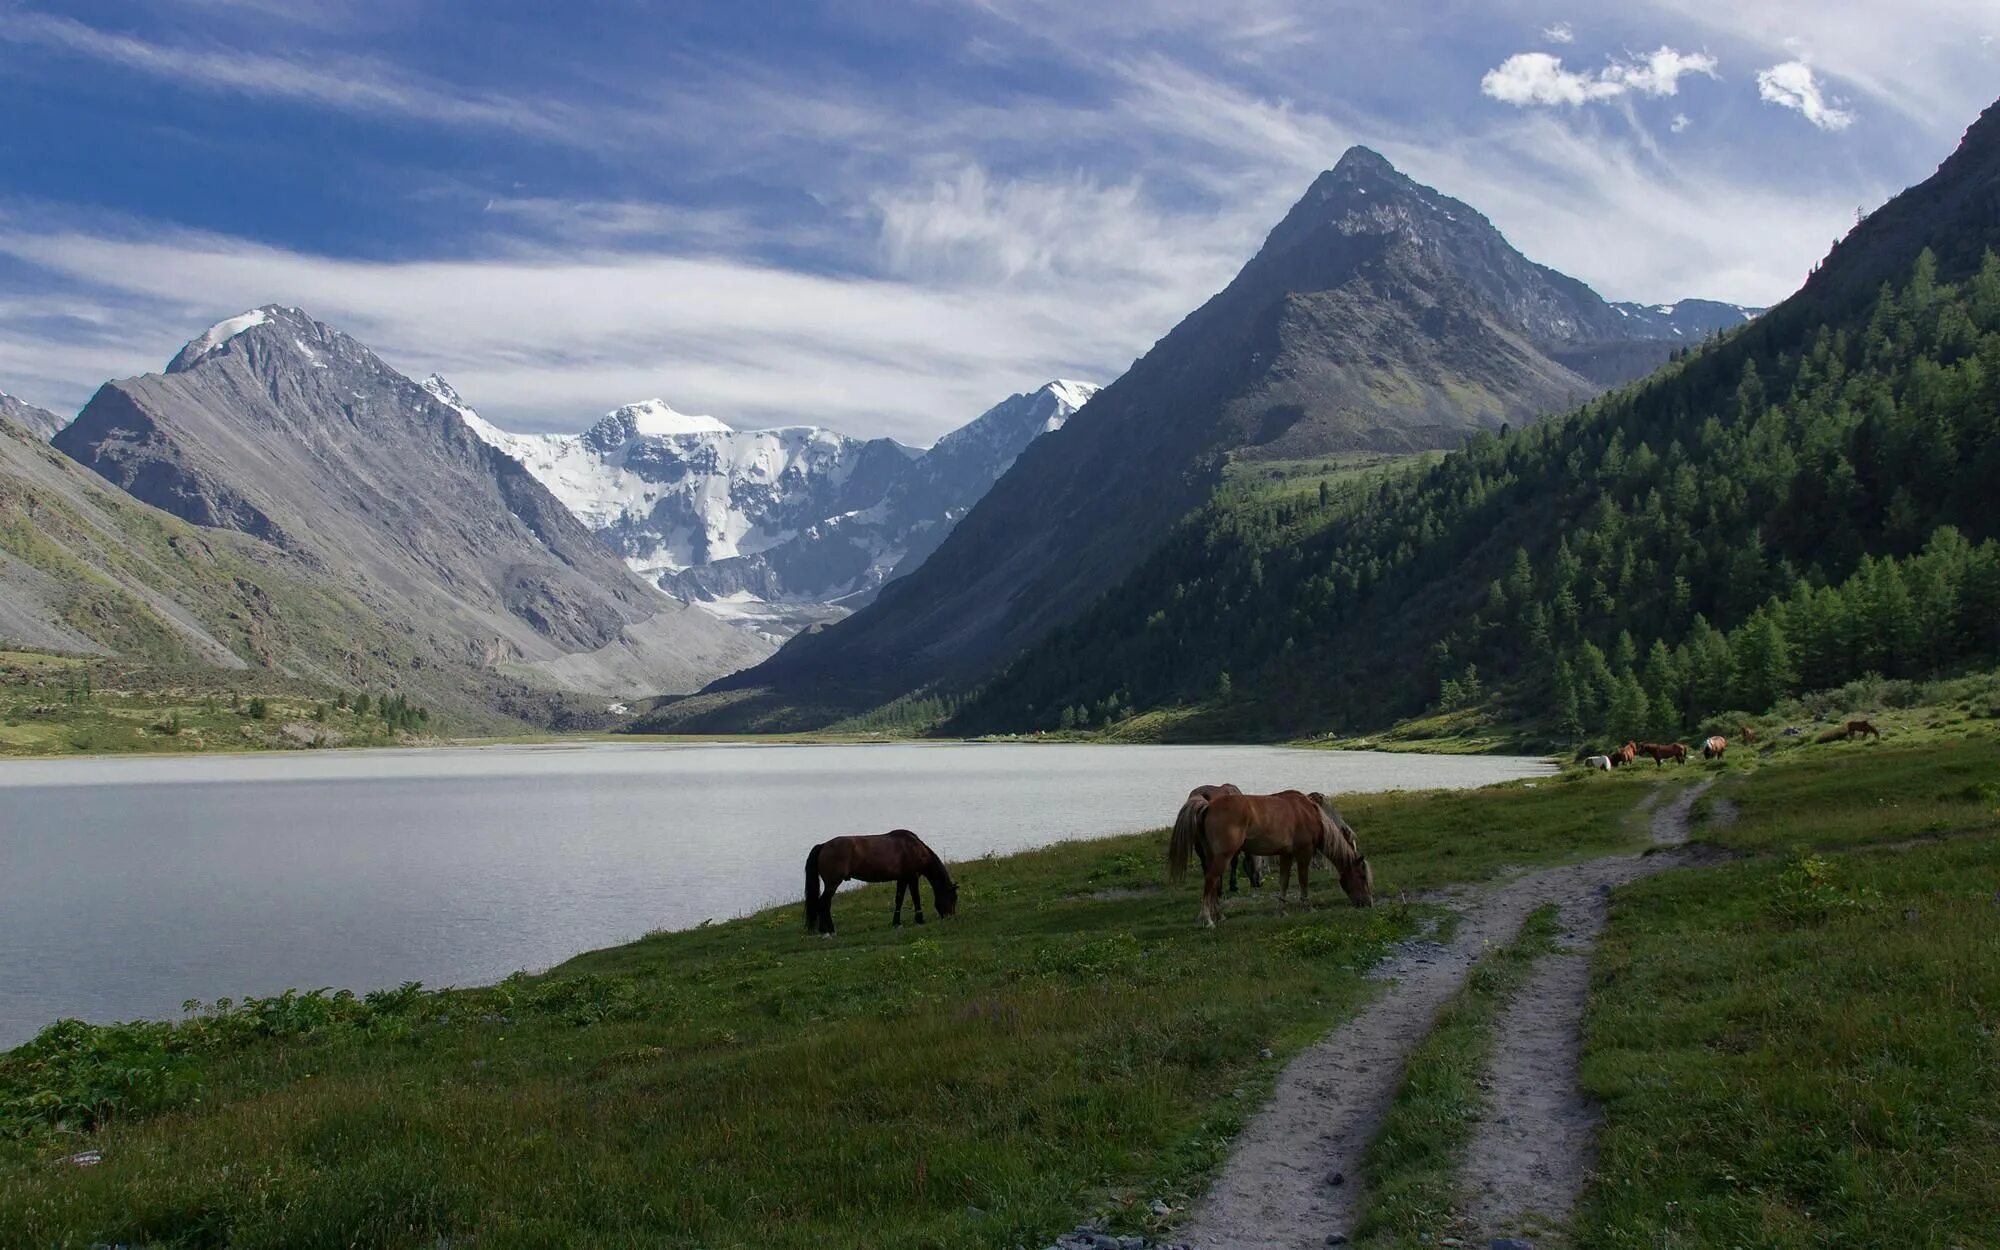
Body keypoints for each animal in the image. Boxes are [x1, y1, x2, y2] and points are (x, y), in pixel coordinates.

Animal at [800, 828, 956, 936]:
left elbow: (898, 900)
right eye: (953, 898)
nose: (951, 916)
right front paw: (920, 920)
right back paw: (829, 931)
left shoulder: (902, 879)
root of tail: (823, 845)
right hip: (832, 883)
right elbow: (916, 899)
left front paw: (896, 924)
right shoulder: (912, 877)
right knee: (823, 903)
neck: (913, 848)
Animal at [1168, 788, 1376, 928]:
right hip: (1223, 856)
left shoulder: (1286, 854)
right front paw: (1307, 907)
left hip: (1212, 855)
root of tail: (1208, 806)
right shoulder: (1304, 852)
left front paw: (1281, 911)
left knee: (1214, 883)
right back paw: (1207, 920)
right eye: (1362, 876)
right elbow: (1303, 880)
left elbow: (1284, 882)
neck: (1309, 813)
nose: (1368, 903)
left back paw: (1218, 915)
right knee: (1211, 881)